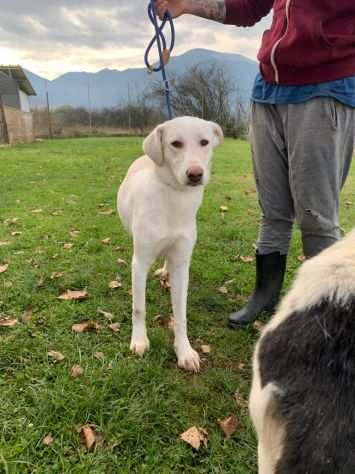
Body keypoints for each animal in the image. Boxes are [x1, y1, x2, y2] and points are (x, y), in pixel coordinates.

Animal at [117, 116, 222, 372]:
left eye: (204, 142)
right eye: (175, 143)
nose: (195, 174)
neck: (175, 196)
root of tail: (146, 156)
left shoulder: (182, 264)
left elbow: (181, 315)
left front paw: (184, 351)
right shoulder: (139, 263)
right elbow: (138, 307)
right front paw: (139, 341)